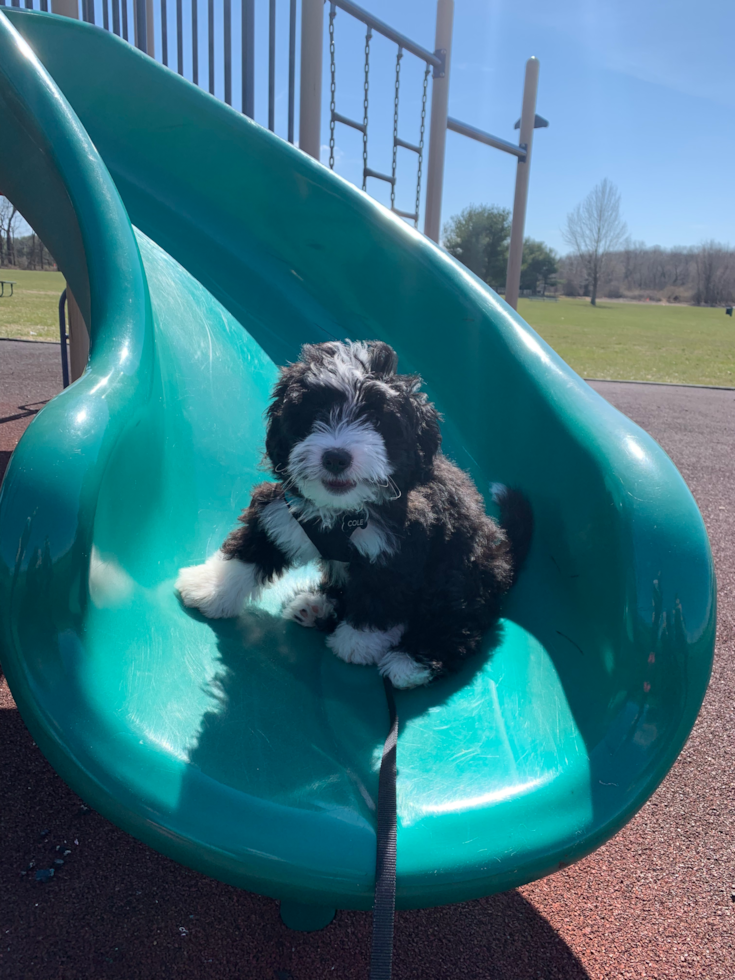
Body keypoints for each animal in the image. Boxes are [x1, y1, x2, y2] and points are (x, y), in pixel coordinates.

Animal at [178, 340, 536, 684]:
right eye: (316, 412)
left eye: (376, 421)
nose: (336, 458)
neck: (343, 511)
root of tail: (504, 553)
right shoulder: (284, 510)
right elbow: (252, 548)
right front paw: (210, 587)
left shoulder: (398, 549)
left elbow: (380, 598)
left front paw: (358, 642)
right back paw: (317, 606)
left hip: (460, 573)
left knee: (457, 621)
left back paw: (412, 661)